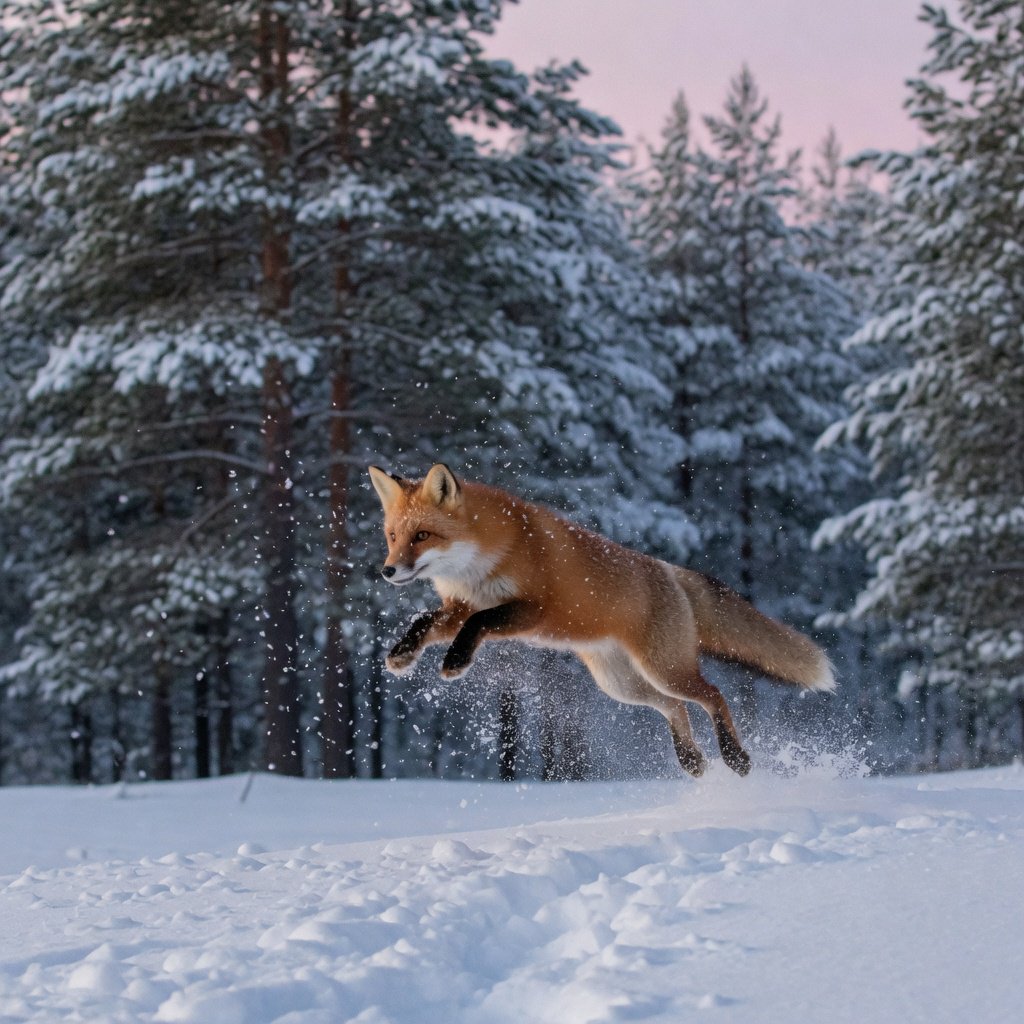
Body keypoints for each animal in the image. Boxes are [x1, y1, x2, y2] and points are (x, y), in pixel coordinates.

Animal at [368, 463, 835, 777]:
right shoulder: (458, 606)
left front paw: (456, 661)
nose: (387, 571)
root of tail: (669, 570)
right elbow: (424, 622)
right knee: (674, 706)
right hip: (623, 685)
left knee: (712, 695)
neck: (481, 562)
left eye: (422, 536)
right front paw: (402, 654)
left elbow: (478, 624)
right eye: (392, 536)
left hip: (664, 669)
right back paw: (692, 760)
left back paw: (734, 757)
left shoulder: (532, 609)